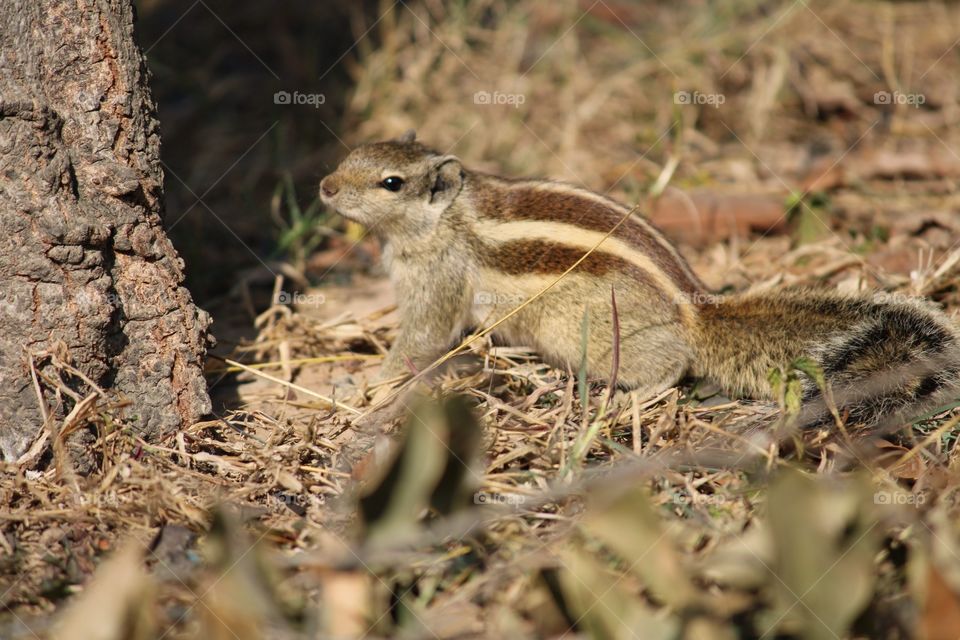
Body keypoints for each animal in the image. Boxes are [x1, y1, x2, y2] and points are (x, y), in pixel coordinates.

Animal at [320, 130, 960, 429]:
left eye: (391, 183)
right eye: (349, 154)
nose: (324, 186)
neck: (448, 216)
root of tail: (696, 311)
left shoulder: (439, 284)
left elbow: (419, 341)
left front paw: (365, 386)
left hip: (596, 334)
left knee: (671, 367)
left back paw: (628, 397)